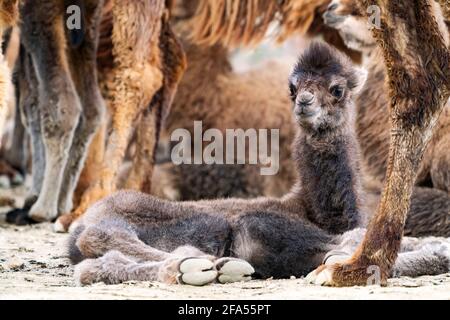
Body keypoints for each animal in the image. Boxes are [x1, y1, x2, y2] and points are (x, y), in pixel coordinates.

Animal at [70, 43, 450, 286]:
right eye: (293, 86)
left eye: (337, 89)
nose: (305, 102)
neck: (314, 209)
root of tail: (78, 223)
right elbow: (352, 244)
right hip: (139, 213)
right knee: (101, 238)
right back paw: (196, 264)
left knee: (94, 262)